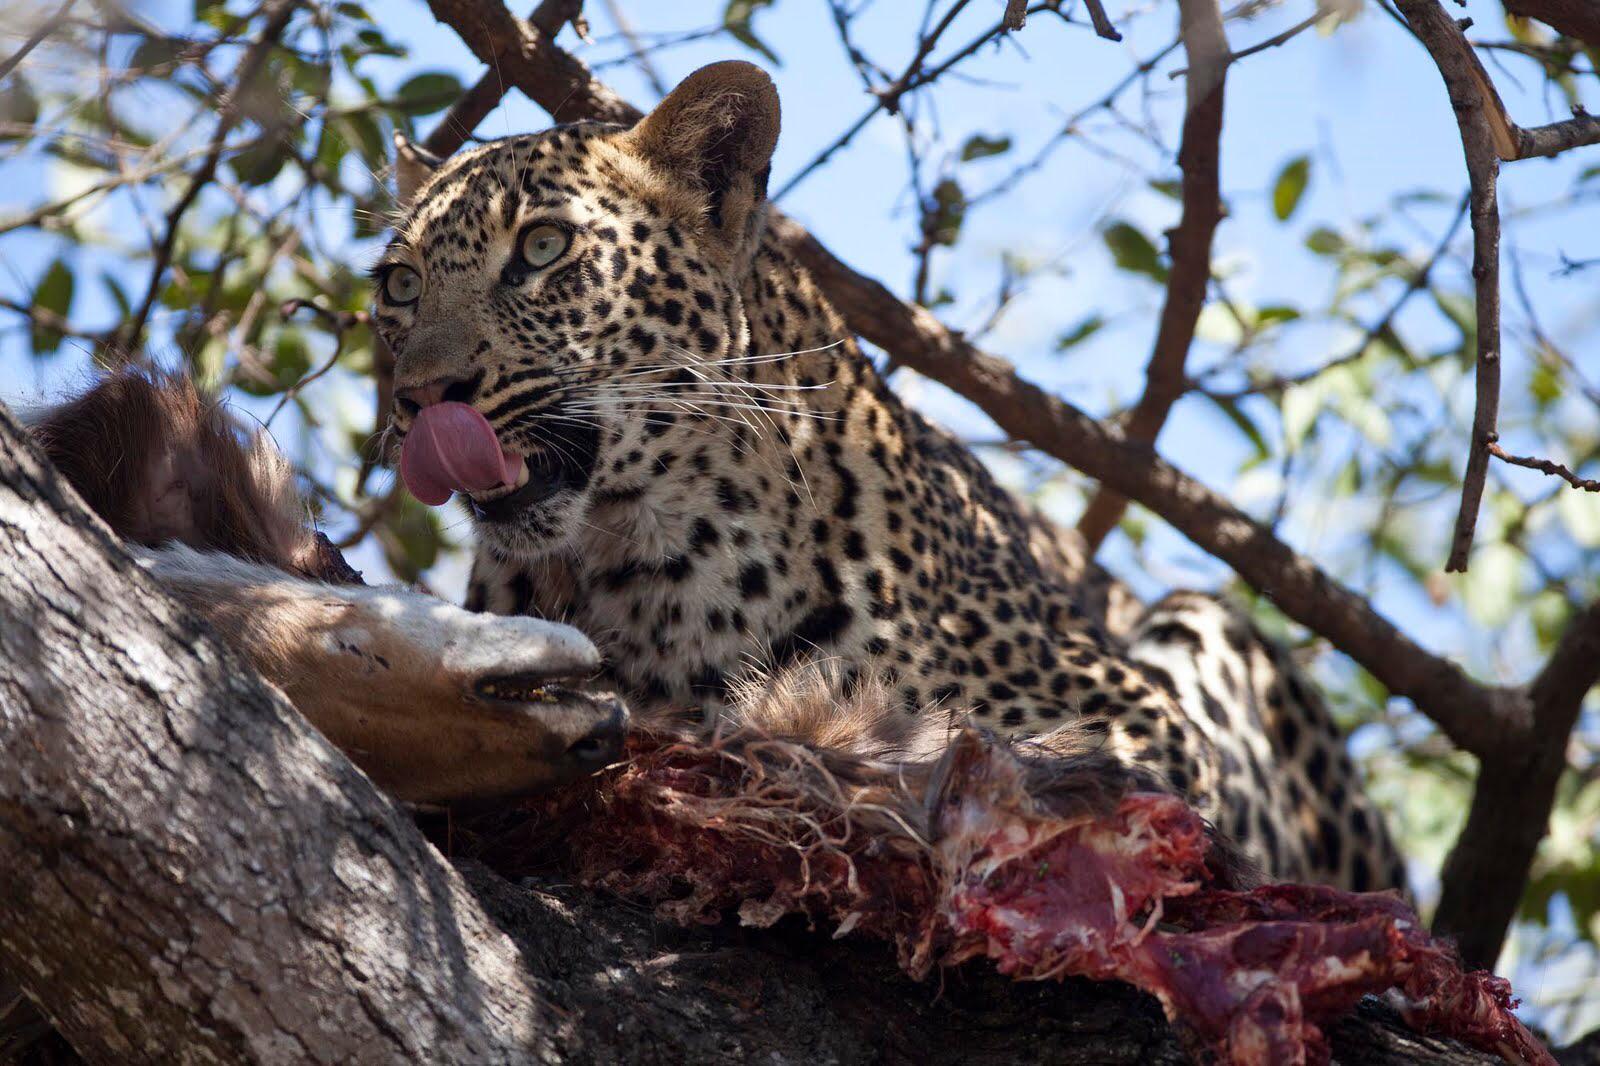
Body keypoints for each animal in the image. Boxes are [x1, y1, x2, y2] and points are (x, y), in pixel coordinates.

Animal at [374, 58, 1401, 889]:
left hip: (1210, 628)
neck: (639, 566)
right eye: (399, 286)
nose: (421, 396)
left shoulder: (1136, 718)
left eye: (543, 248)